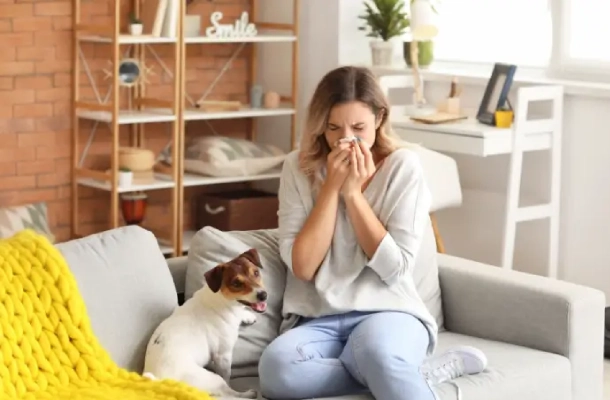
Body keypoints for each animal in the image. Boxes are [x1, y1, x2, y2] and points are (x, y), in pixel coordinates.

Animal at [142, 248, 268, 398]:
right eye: (236, 284)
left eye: (256, 272)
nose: (263, 295)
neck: (222, 300)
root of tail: (159, 380)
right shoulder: (223, 355)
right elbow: (227, 375)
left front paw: (247, 316)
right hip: (211, 379)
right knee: (227, 393)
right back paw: (247, 394)